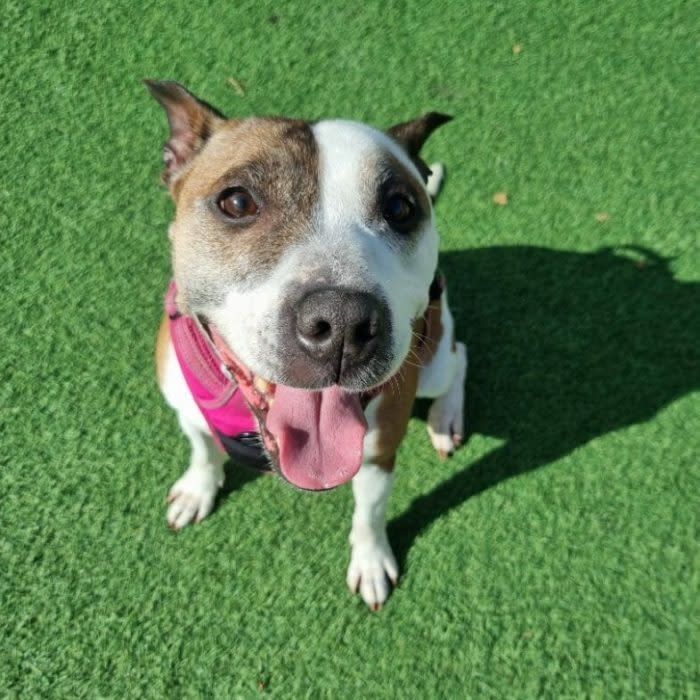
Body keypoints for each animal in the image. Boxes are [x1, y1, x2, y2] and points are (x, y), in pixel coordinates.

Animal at [147, 80, 468, 608]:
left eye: (400, 208)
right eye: (237, 203)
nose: (341, 323)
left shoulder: (378, 453)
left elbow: (369, 515)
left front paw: (371, 561)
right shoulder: (185, 409)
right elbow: (202, 449)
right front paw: (198, 488)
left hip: (432, 358)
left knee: (460, 359)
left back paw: (446, 419)